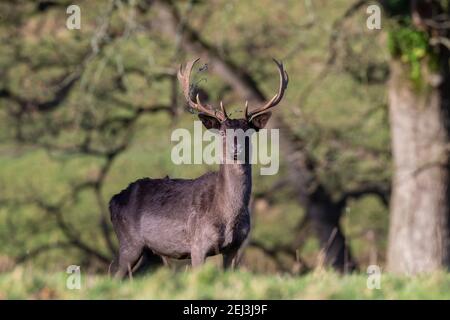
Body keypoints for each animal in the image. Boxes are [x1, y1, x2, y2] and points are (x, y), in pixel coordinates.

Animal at [110, 58, 290, 278]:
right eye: (223, 132)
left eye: (249, 132)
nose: (236, 149)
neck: (227, 215)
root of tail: (113, 200)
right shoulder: (198, 245)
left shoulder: (235, 247)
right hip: (129, 242)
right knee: (114, 273)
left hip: (150, 253)